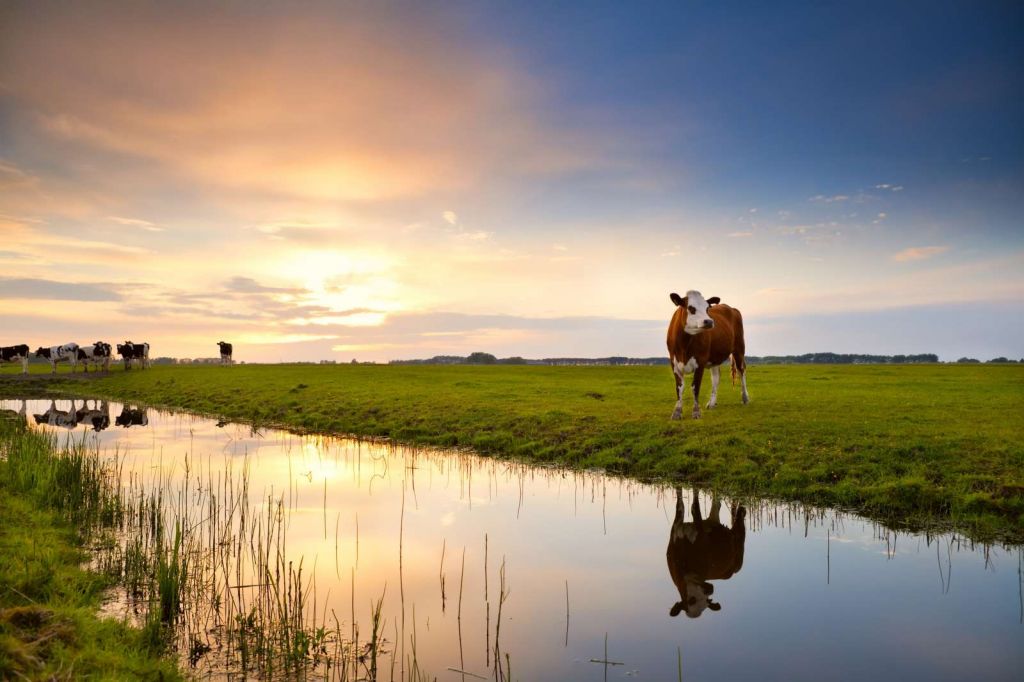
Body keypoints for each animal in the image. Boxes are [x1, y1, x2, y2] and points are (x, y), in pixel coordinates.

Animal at [666, 290, 749, 420]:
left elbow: (695, 387)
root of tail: (731, 308)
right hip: (715, 357)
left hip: (739, 348)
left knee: (741, 371)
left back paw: (745, 398)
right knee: (716, 378)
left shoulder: (700, 361)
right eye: (691, 308)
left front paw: (696, 412)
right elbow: (679, 387)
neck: (684, 345)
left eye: (707, 308)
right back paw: (712, 403)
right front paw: (677, 412)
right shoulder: (674, 363)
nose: (709, 321)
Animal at [667, 488, 746, 619]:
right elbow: (680, 504)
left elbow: (694, 507)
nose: (710, 590)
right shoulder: (676, 529)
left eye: (706, 601)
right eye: (691, 600)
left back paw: (742, 510)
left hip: (739, 551)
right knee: (717, 504)